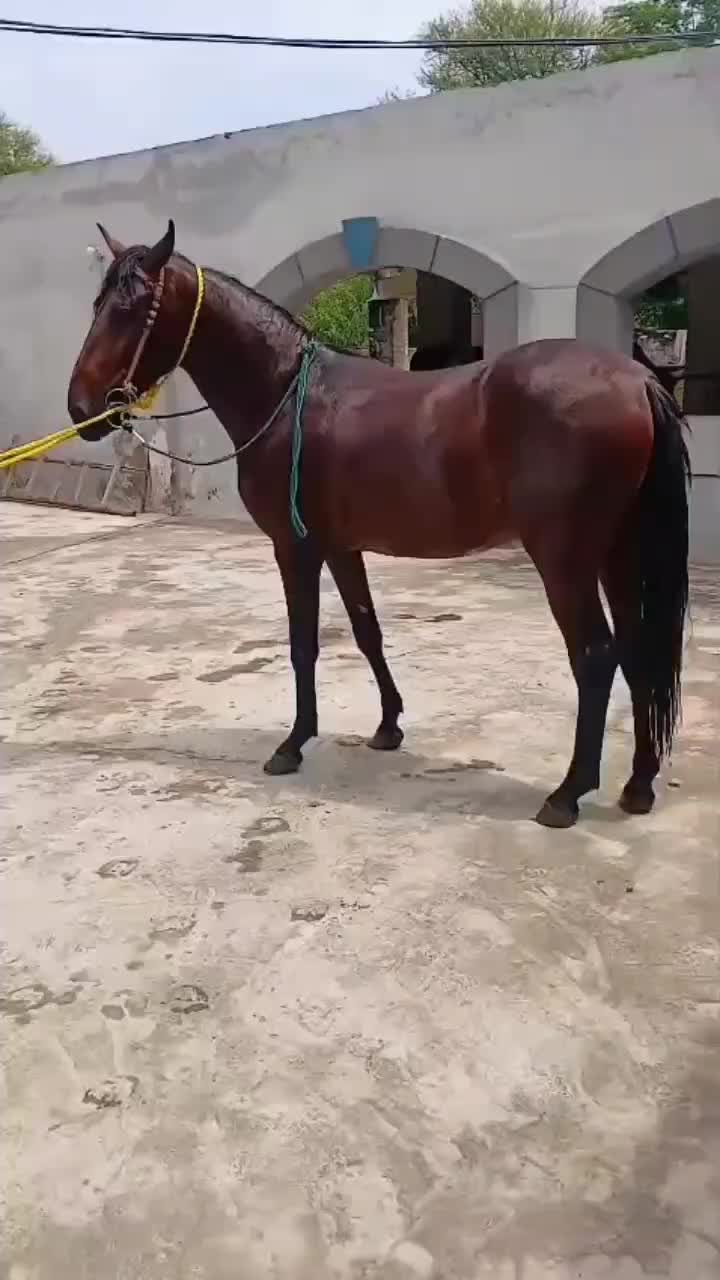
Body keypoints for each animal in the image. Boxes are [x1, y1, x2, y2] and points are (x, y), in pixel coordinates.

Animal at [67, 221, 690, 829]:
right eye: (97, 302)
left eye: (131, 308)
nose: (81, 409)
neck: (285, 393)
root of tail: (638, 381)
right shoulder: (341, 546)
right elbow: (367, 631)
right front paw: (388, 726)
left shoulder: (294, 547)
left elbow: (303, 644)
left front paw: (292, 744)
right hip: (617, 553)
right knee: (636, 648)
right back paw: (638, 784)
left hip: (565, 560)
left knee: (595, 656)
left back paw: (568, 794)